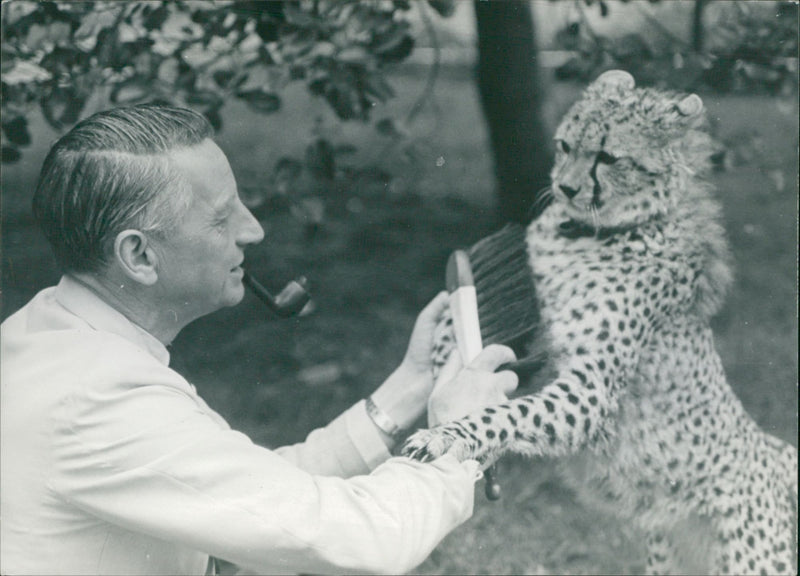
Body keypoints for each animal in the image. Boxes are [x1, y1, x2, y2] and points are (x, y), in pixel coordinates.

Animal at [404, 70, 796, 572]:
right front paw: (444, 377)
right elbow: (451, 334)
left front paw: (446, 434)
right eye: (565, 145)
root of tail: (774, 449)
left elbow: (505, 412)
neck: (584, 234)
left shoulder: (590, 388)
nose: (565, 188)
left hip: (754, 560)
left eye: (608, 157)